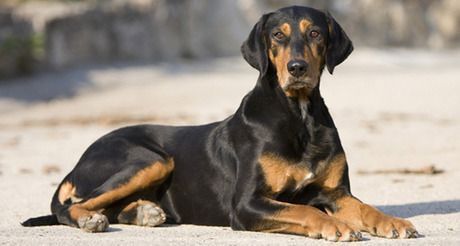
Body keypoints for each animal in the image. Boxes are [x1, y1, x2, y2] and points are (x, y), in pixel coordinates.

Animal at [21, 6, 418, 242]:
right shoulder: (246, 204)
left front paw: (393, 222)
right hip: (151, 158)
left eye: (315, 34)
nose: (297, 69)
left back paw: (144, 211)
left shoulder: (335, 194)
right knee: (72, 205)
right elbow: (302, 209)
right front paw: (334, 225)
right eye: (278, 35)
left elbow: (363, 207)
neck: (299, 114)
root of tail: (81, 157)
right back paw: (91, 220)